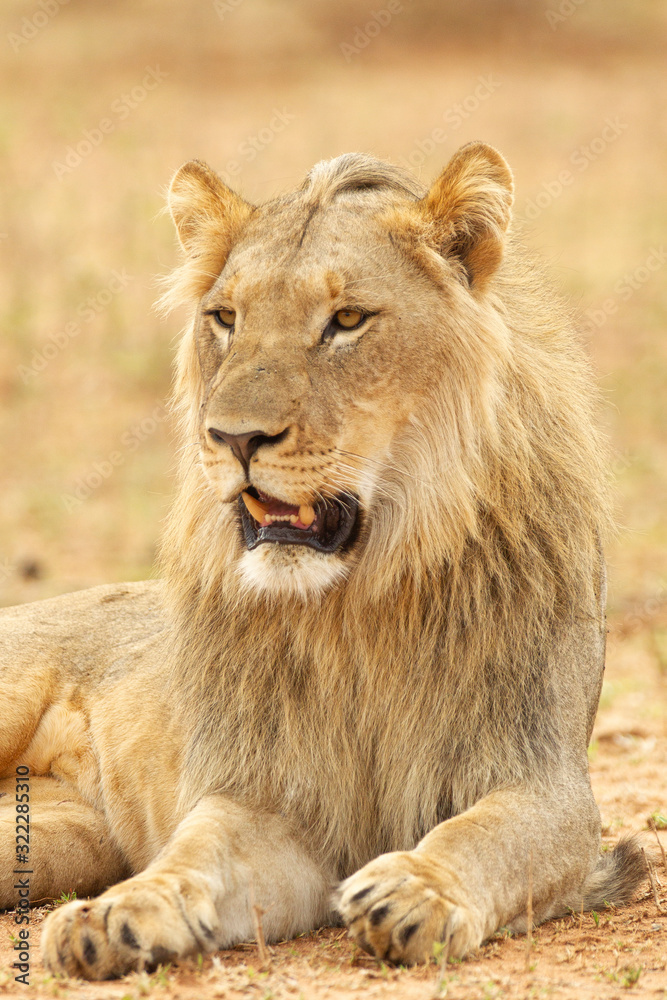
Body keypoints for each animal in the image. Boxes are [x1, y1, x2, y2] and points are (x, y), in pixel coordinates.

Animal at [0, 141, 648, 976]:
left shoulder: (540, 774)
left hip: (62, 838)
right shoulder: (272, 797)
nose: (233, 438)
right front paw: (116, 914)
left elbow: (481, 836)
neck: (359, 600)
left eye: (345, 322)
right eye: (225, 319)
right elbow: (196, 852)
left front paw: (415, 891)